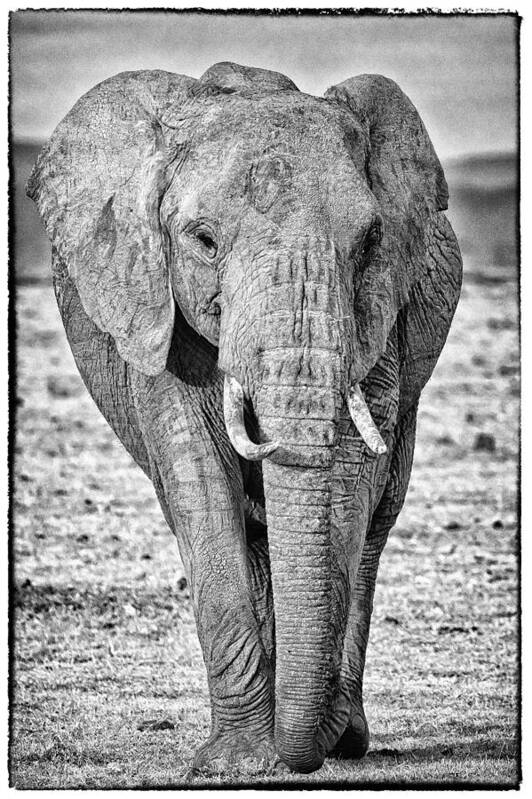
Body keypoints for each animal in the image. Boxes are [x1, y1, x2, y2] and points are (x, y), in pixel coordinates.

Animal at [27, 61, 462, 776]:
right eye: (203, 241)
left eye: (370, 242)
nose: (301, 754)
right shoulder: (155, 311)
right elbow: (201, 485)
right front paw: (235, 762)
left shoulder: (379, 316)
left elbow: (349, 485)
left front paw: (306, 740)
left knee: (377, 523)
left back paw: (346, 738)